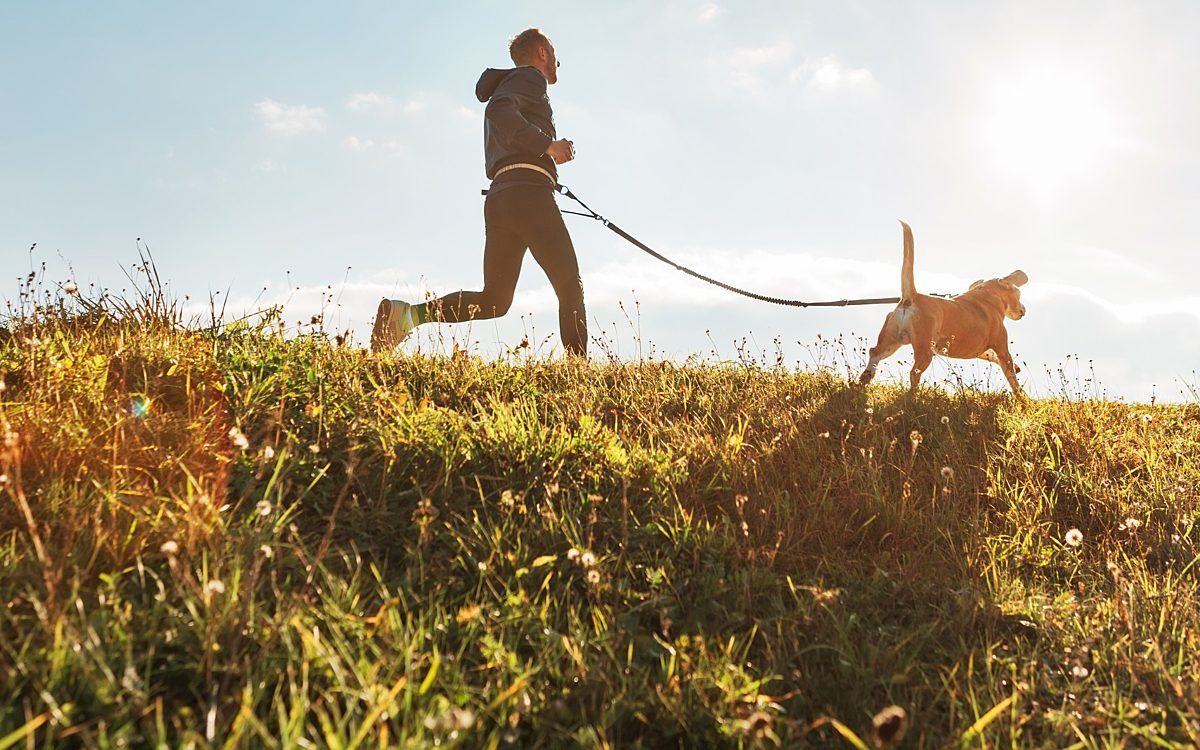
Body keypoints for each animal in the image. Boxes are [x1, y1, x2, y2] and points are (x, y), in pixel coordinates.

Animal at [859, 220, 1027, 396]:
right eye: (1018, 293)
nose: (1023, 309)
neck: (987, 295)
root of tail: (911, 297)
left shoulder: (981, 350)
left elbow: (991, 356)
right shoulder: (1002, 348)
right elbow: (1012, 377)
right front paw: (1021, 397)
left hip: (890, 341)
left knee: (874, 354)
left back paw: (864, 380)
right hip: (924, 350)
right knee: (914, 373)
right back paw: (913, 396)